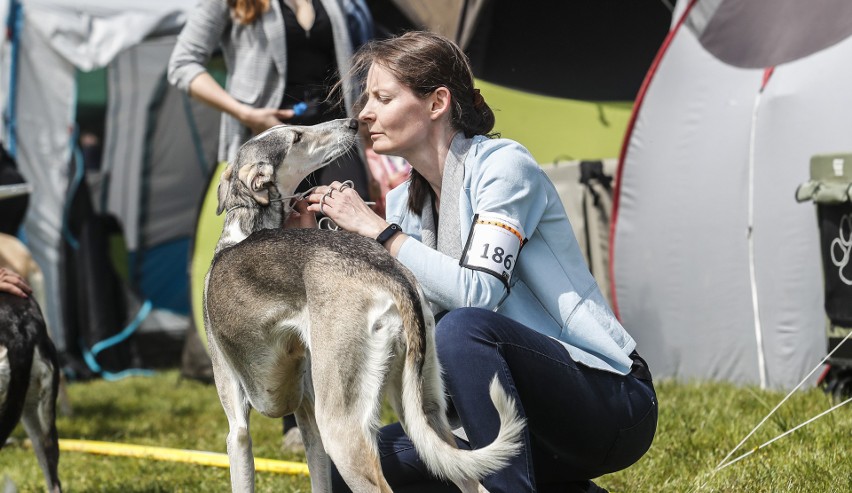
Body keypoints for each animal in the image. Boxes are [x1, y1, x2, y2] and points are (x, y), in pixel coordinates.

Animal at [206, 118, 524, 488]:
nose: (353, 123)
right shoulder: (308, 422)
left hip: (341, 427)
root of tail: (391, 274)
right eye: (297, 137)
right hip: (423, 408)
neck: (243, 229)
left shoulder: (238, 431)